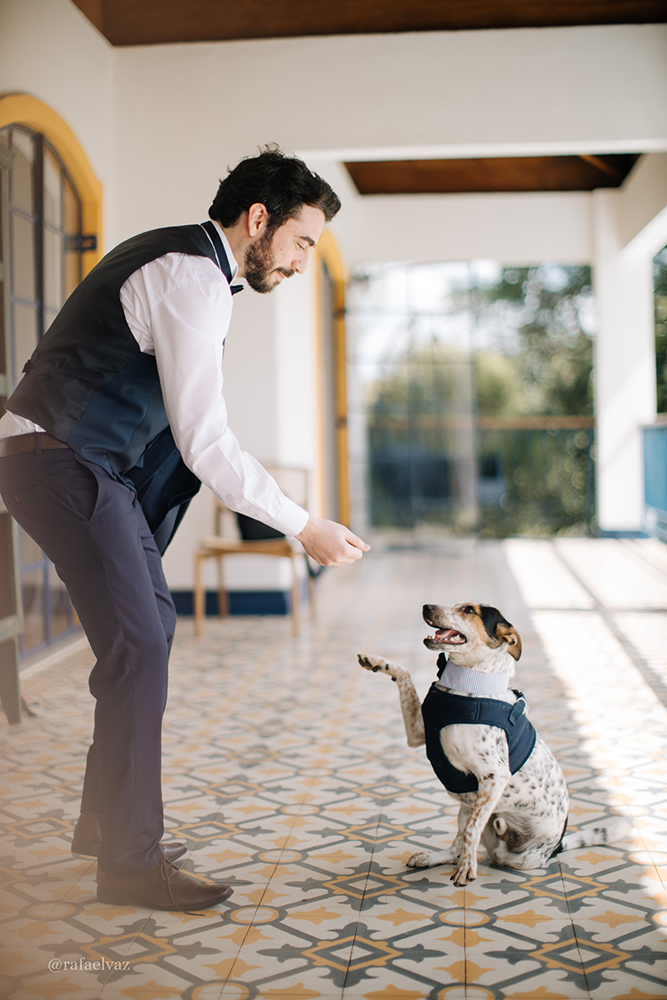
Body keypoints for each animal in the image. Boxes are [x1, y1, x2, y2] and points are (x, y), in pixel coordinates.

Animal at [360, 604, 632, 888]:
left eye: (469, 610)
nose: (427, 607)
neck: (467, 685)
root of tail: (557, 848)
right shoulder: (416, 733)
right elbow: (406, 676)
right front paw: (377, 662)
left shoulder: (495, 776)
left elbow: (472, 831)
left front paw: (468, 869)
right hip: (466, 809)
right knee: (456, 848)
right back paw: (432, 857)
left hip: (516, 851)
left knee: (476, 843)